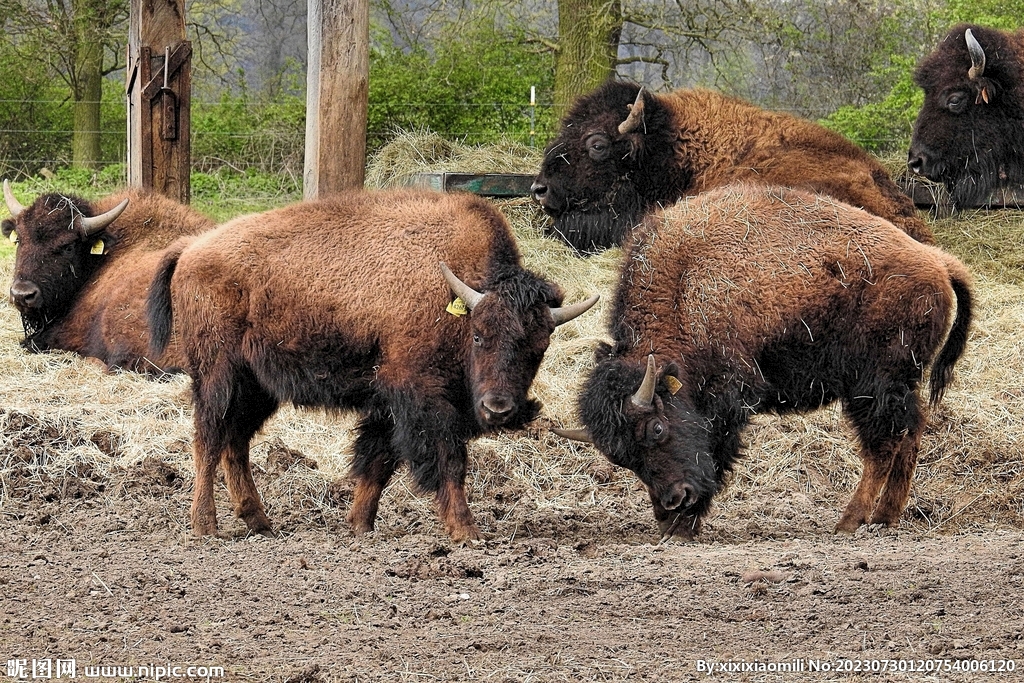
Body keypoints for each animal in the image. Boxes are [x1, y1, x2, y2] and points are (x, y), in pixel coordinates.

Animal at [148, 189, 598, 540]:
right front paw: (466, 530)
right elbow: (447, 459)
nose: (498, 409)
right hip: (218, 374)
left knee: (236, 441)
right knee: (208, 438)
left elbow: (377, 462)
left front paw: (360, 525)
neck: (455, 296)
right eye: (478, 335)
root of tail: (191, 248)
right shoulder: (420, 396)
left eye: (540, 347)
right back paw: (205, 526)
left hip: (258, 384)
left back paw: (260, 522)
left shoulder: (386, 403)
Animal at [557, 185, 970, 540]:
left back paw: (849, 521)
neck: (683, 289)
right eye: (621, 458)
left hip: (873, 385)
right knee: (910, 432)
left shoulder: (727, 399)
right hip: (899, 383)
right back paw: (885, 517)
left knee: (884, 444)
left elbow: (718, 451)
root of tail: (938, 263)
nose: (674, 500)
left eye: (657, 428)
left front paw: (685, 525)